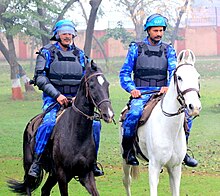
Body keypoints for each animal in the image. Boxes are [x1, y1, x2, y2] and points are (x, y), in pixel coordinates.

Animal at [7, 60, 114, 195]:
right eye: (91, 85)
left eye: (107, 84)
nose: (108, 114)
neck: (76, 134)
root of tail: (31, 124)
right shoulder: (62, 174)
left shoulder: (86, 174)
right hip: (30, 168)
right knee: (28, 187)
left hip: (53, 175)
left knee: (45, 189)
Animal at [121, 49, 202, 196]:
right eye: (179, 77)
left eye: (197, 77)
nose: (194, 107)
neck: (168, 128)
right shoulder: (154, 167)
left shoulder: (175, 168)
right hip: (125, 160)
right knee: (127, 181)